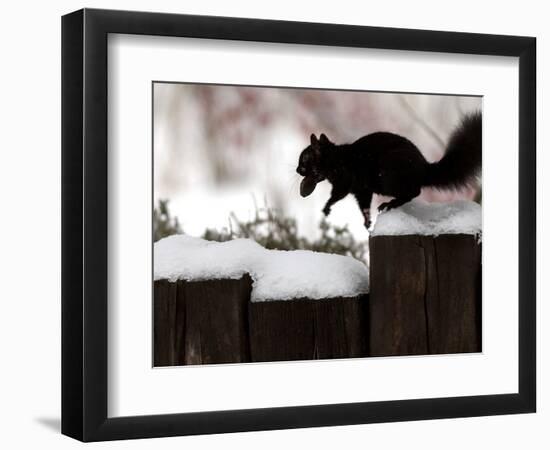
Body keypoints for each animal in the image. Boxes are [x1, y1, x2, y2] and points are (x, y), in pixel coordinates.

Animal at [298, 110, 484, 227]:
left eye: (305, 159)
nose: (297, 170)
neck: (334, 159)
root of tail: (424, 169)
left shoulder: (345, 179)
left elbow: (337, 195)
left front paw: (327, 207)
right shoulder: (362, 190)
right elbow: (364, 205)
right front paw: (367, 221)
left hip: (388, 177)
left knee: (414, 192)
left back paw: (391, 203)